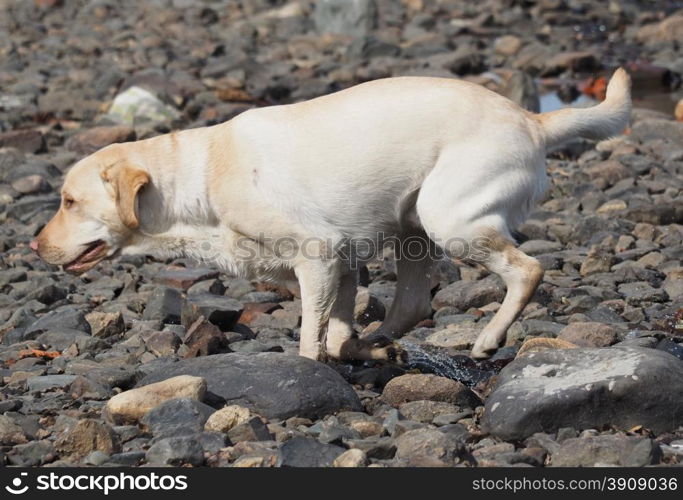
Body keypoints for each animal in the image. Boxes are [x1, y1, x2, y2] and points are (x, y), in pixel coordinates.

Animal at [32, 68, 632, 362]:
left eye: (69, 201)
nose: (33, 246)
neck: (198, 178)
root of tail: (532, 119)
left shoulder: (317, 254)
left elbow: (309, 338)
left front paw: (311, 370)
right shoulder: (341, 264)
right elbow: (338, 329)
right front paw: (353, 348)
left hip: (450, 218)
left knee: (527, 270)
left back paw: (487, 340)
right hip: (414, 227)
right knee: (411, 304)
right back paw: (381, 344)